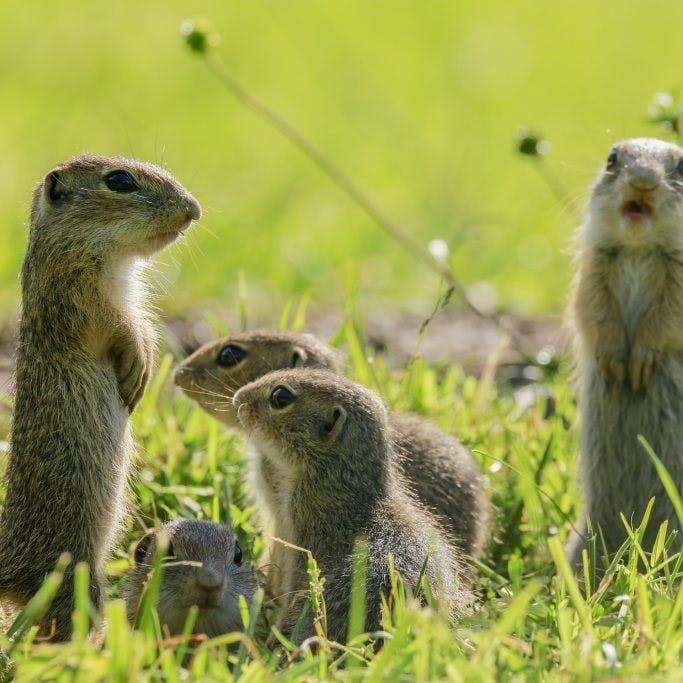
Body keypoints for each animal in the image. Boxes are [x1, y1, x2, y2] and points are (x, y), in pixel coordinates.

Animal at [0, 152, 202, 640]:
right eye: (120, 181)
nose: (193, 210)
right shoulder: (81, 299)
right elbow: (120, 330)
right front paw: (135, 370)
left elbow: (144, 330)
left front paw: (142, 371)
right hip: (75, 583)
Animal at [568, 136, 683, 564]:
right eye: (612, 159)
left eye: (682, 167)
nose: (643, 182)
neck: (639, 248)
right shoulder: (593, 268)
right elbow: (592, 308)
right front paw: (614, 361)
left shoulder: (679, 279)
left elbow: (667, 315)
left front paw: (640, 362)